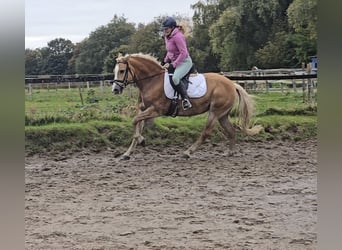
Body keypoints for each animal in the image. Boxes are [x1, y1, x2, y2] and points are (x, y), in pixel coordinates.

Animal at [112, 53, 262, 159]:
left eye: (121, 71)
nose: (115, 90)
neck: (152, 81)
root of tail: (232, 84)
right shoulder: (144, 110)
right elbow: (137, 124)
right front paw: (127, 153)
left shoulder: (156, 110)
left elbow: (135, 121)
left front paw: (141, 141)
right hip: (222, 115)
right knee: (231, 131)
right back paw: (230, 152)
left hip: (215, 112)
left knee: (206, 133)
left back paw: (188, 152)